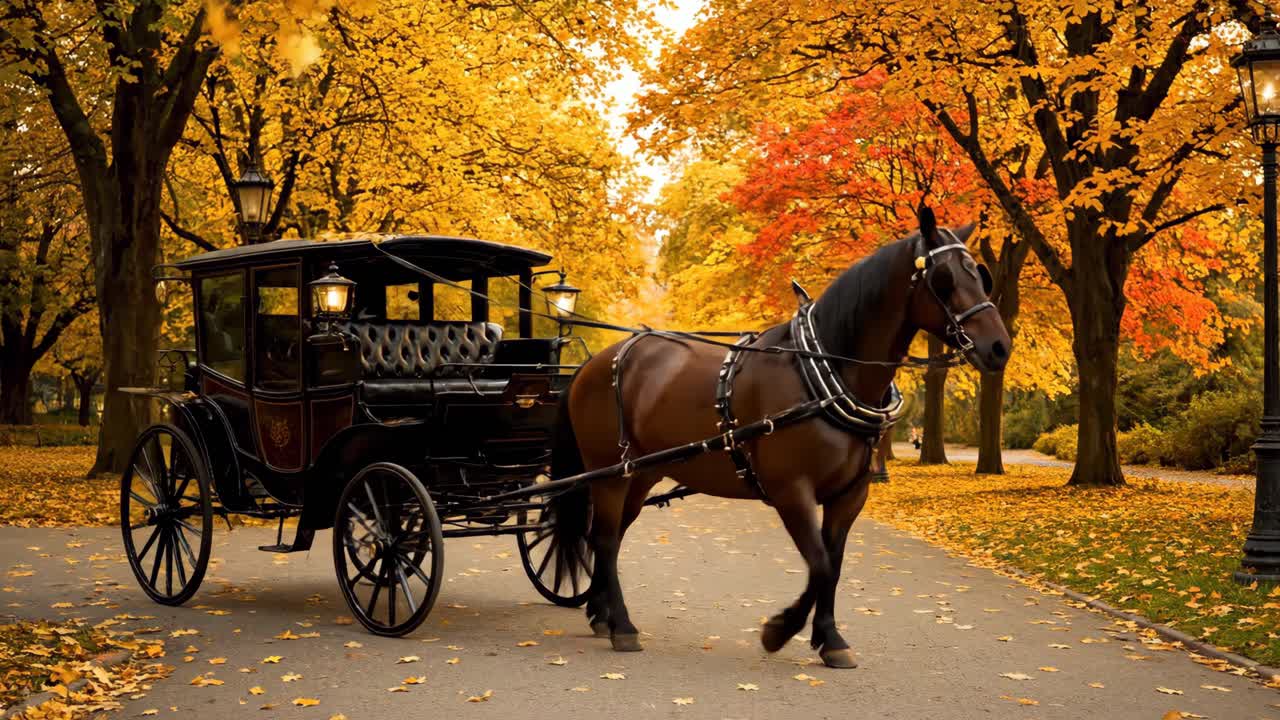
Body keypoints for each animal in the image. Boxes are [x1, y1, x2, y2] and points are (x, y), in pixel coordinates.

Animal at [548, 208, 1012, 668]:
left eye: (979, 274)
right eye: (944, 278)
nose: (999, 347)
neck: (824, 373)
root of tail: (597, 362)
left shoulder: (850, 495)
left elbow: (834, 566)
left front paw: (829, 638)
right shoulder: (792, 491)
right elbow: (819, 564)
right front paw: (779, 630)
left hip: (641, 473)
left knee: (608, 538)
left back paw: (602, 614)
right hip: (610, 473)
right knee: (605, 538)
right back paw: (623, 626)